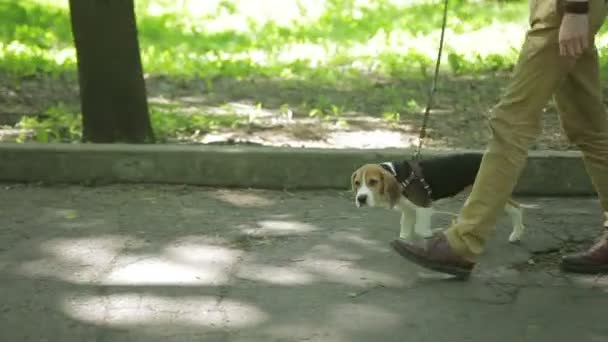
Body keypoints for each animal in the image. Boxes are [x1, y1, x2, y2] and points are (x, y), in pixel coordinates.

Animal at [352, 152, 528, 243]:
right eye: (357, 183)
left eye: (373, 182)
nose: (360, 199)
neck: (399, 175)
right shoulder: (408, 210)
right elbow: (405, 226)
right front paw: (404, 239)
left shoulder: (424, 207)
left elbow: (420, 228)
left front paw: (428, 235)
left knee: (517, 208)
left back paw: (516, 234)